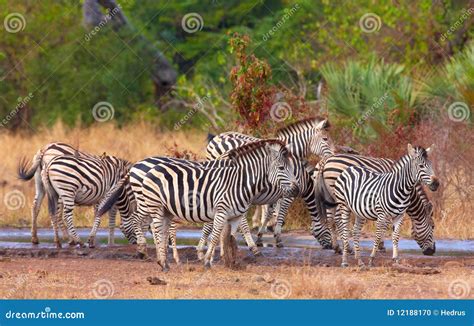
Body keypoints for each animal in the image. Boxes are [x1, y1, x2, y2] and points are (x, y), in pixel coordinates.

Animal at [206, 117, 336, 247]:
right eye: (325, 139)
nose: (334, 156)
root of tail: (218, 136)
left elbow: (270, 211)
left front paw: (262, 234)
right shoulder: (286, 192)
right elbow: (280, 211)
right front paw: (277, 235)